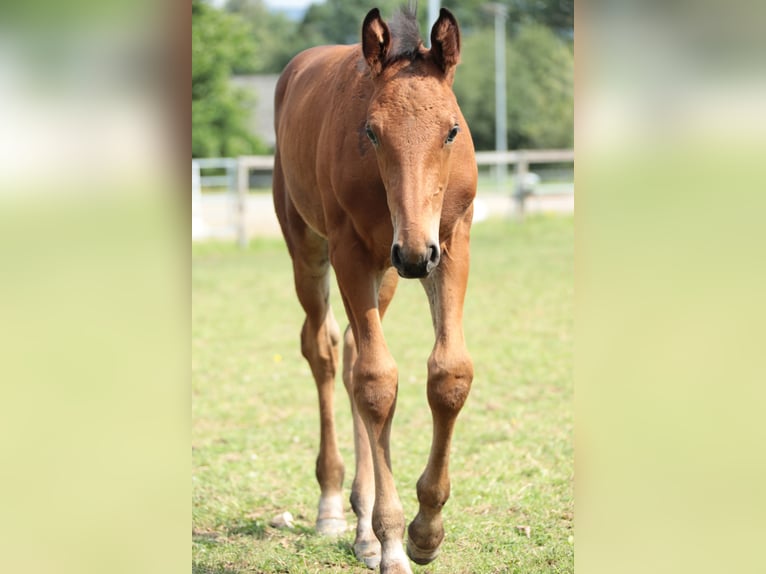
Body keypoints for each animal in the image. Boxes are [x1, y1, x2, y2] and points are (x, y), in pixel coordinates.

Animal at [272, 5, 476, 574]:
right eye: (371, 131)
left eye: (452, 130)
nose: (413, 255)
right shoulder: (351, 252)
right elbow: (377, 381)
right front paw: (393, 540)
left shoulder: (449, 243)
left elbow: (448, 373)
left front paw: (425, 532)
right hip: (313, 248)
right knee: (324, 350)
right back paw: (334, 508)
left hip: (385, 274)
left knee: (348, 354)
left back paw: (362, 527)